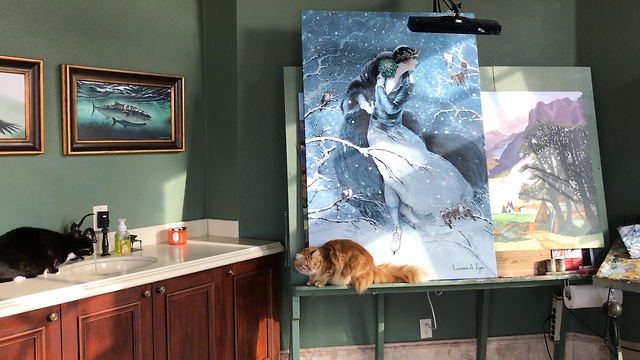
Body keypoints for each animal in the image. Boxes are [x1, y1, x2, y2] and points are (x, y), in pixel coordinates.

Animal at [294, 239, 424, 292]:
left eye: (315, 264)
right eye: (306, 265)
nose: (311, 270)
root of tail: (373, 266)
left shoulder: (331, 268)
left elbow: (325, 277)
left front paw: (319, 283)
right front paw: (311, 281)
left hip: (352, 268)